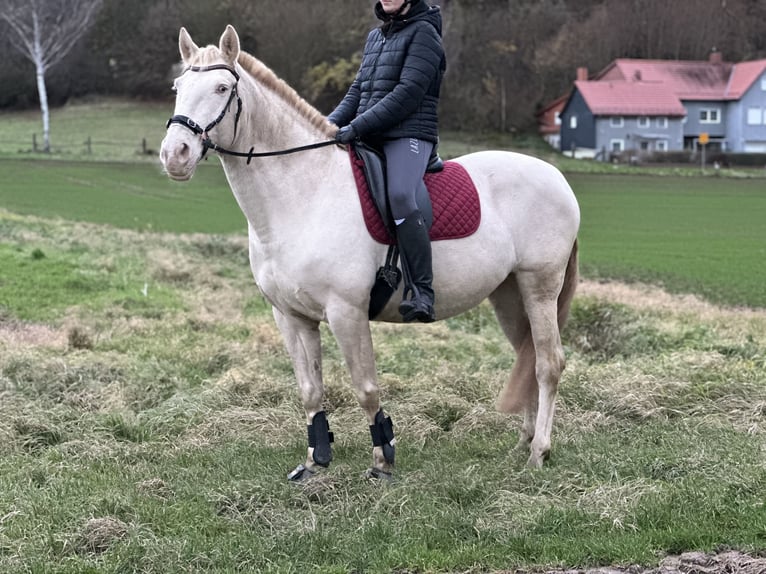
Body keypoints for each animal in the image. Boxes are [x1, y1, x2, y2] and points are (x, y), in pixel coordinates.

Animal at [160, 23, 584, 482]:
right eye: (178, 87)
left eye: (222, 88)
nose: (174, 155)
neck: (305, 195)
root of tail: (556, 177)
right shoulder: (290, 316)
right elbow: (311, 390)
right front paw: (315, 460)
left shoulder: (347, 313)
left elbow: (366, 388)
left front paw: (382, 461)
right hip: (509, 295)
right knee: (528, 356)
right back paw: (523, 443)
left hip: (539, 288)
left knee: (548, 363)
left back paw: (539, 451)